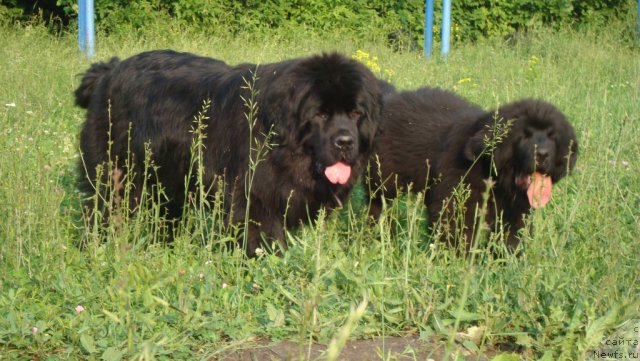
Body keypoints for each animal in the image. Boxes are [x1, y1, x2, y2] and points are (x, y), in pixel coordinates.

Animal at [77, 49, 382, 255]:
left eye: (355, 113)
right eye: (319, 114)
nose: (345, 141)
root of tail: (109, 71)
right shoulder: (252, 196)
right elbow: (261, 235)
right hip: (116, 171)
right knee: (104, 207)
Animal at [368, 88, 576, 248]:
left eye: (552, 137)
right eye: (524, 135)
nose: (542, 154)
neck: (493, 175)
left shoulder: (515, 212)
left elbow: (510, 240)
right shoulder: (458, 205)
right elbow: (458, 236)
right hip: (384, 181)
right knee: (379, 206)